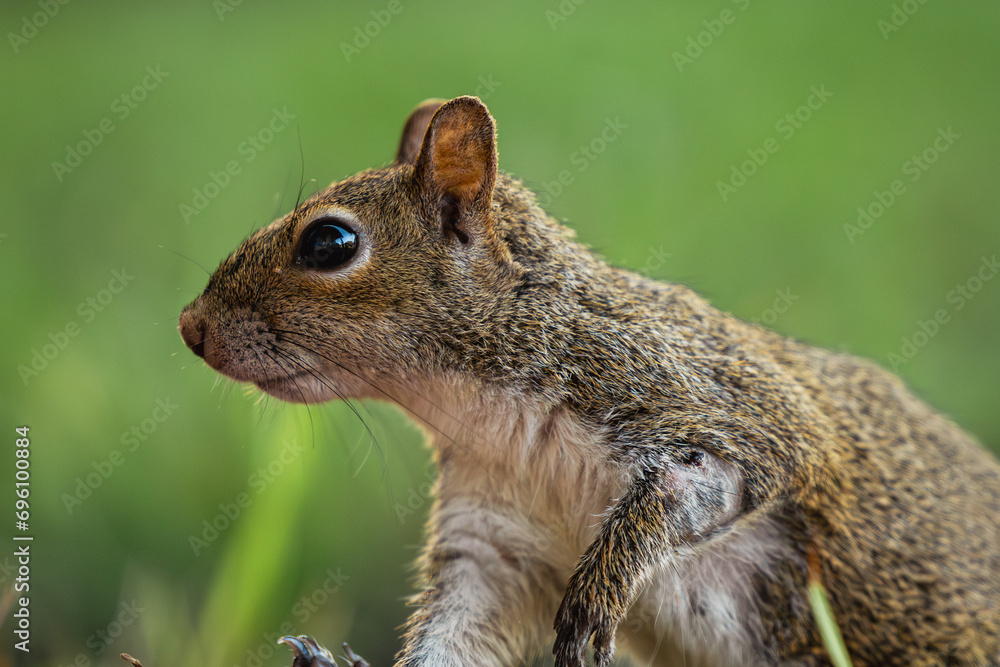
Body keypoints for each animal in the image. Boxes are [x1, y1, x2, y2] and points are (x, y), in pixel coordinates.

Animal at [179, 96, 1000, 666]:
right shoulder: (495, 540)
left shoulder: (719, 411)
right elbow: (457, 635)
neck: (493, 419)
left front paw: (595, 598)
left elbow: (690, 490)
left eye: (330, 242)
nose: (190, 326)